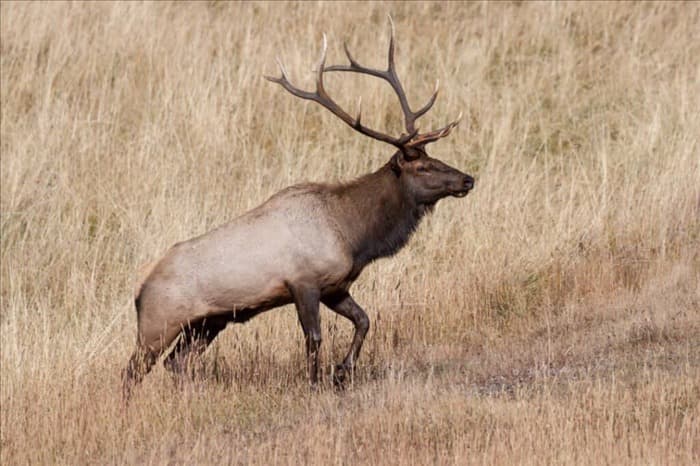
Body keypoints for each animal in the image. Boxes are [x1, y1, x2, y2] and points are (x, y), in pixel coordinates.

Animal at [124, 17, 476, 396]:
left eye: (436, 157)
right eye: (422, 166)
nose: (467, 179)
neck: (354, 235)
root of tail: (139, 287)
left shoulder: (336, 286)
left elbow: (364, 320)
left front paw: (342, 372)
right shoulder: (302, 282)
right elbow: (314, 338)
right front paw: (315, 384)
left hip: (209, 322)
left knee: (177, 362)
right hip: (158, 323)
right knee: (132, 370)